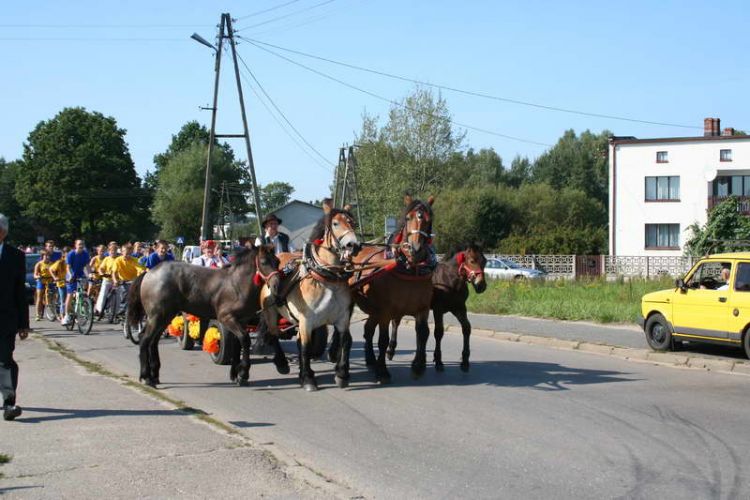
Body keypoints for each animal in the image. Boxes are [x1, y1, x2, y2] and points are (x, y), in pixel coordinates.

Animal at [128, 245, 280, 386]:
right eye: (264, 262)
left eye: (278, 261)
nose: (276, 286)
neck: (236, 285)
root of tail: (148, 273)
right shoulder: (227, 318)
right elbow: (245, 339)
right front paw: (243, 375)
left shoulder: (241, 320)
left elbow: (238, 343)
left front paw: (235, 375)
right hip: (157, 316)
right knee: (145, 339)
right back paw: (146, 377)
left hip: (164, 316)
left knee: (152, 341)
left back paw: (154, 375)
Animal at [262, 201, 362, 392]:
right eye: (335, 223)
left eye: (353, 223)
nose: (354, 245)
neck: (327, 278)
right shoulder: (307, 320)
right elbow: (306, 348)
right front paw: (308, 379)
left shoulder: (342, 318)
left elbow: (345, 341)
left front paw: (341, 375)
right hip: (271, 312)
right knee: (273, 334)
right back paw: (282, 363)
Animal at [334, 195, 438, 382]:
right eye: (408, 218)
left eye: (428, 220)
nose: (416, 249)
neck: (409, 268)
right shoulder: (386, 312)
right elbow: (382, 339)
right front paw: (382, 371)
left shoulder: (422, 309)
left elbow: (423, 333)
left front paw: (418, 366)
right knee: (345, 332)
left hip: (374, 310)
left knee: (368, 331)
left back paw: (370, 359)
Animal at [388, 244, 488, 374]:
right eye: (472, 261)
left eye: (485, 261)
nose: (481, 285)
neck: (450, 280)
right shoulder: (438, 310)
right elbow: (439, 332)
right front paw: (439, 361)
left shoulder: (459, 308)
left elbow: (466, 328)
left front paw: (465, 361)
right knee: (396, 323)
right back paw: (391, 350)